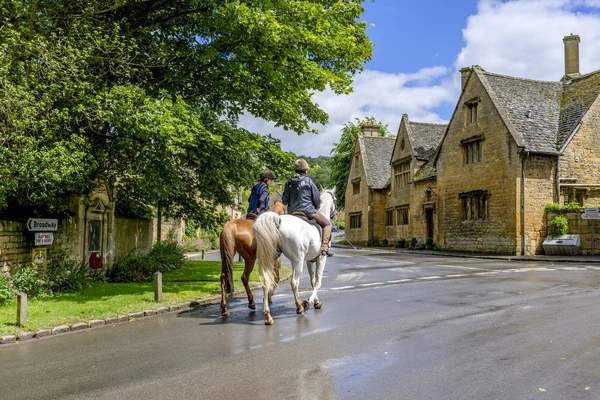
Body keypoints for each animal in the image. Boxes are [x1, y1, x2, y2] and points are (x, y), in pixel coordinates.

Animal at [253, 188, 338, 324]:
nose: (335, 214)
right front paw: (309, 302)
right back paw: (300, 307)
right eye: (335, 199)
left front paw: (316, 302)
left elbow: (312, 281)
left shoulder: (309, 260)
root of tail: (278, 220)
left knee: (266, 283)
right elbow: (317, 282)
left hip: (270, 258)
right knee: (294, 282)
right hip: (297, 260)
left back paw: (268, 316)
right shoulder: (321, 259)